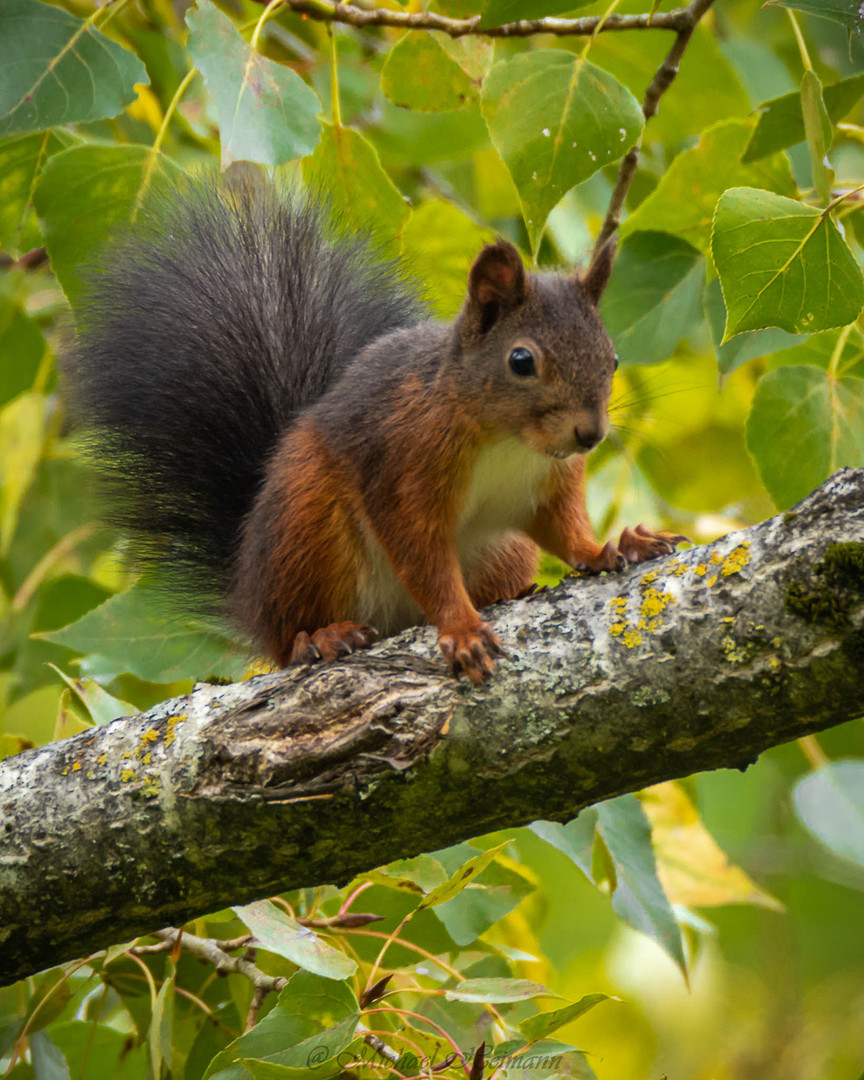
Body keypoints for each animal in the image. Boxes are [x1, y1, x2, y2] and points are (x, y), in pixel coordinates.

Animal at [65, 179, 686, 682]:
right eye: (521, 361)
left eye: (612, 357)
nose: (590, 435)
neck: (508, 442)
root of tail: (249, 591)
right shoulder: (402, 467)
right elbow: (422, 556)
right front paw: (462, 630)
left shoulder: (548, 485)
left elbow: (565, 527)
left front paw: (613, 547)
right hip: (308, 530)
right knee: (287, 637)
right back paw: (319, 637)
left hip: (501, 550)